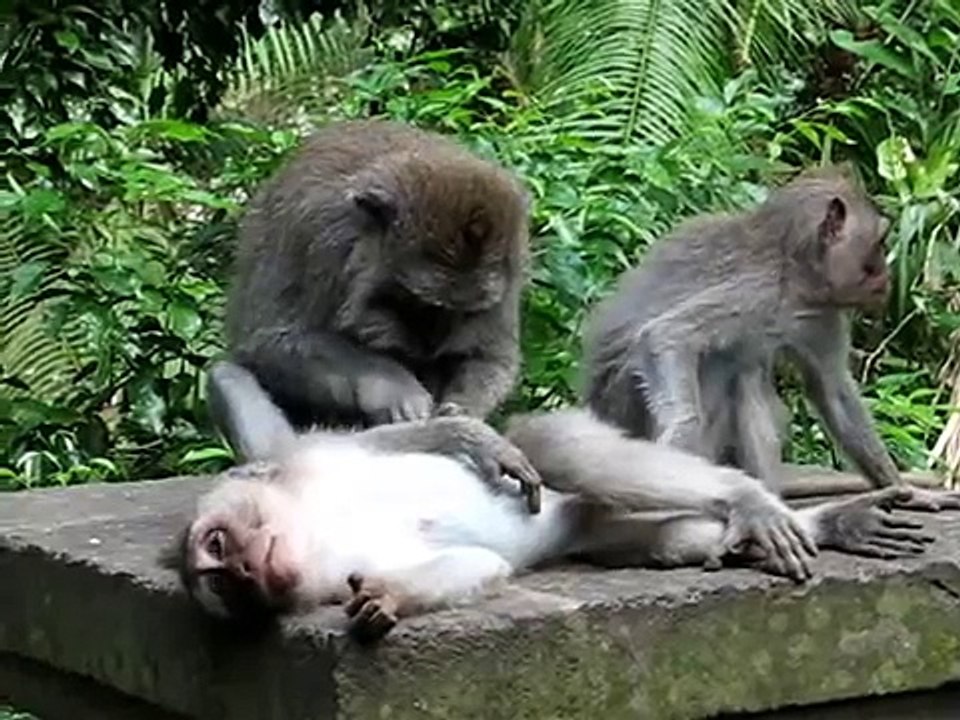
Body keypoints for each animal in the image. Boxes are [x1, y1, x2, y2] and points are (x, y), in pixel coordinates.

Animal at [162, 410, 934, 643]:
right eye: (219, 586)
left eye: (217, 545)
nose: (242, 570)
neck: (313, 529)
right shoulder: (317, 576)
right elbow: (478, 564)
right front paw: (387, 598)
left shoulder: (309, 461)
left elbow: (400, 439)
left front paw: (470, 437)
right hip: (595, 527)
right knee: (651, 535)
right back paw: (779, 533)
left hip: (565, 458)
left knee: (564, 448)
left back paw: (756, 503)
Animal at [209, 119, 530, 465]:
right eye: (422, 305)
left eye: (462, 313)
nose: (432, 344)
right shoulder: (318, 234)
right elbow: (270, 342)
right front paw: (392, 386)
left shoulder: (513, 254)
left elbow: (491, 357)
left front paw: (460, 411)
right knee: (227, 374)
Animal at [584, 166, 960, 512]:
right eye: (880, 244)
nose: (887, 276)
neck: (795, 274)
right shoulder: (756, 290)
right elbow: (666, 335)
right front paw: (682, 432)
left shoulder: (821, 315)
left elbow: (835, 393)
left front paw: (908, 491)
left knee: (746, 373)